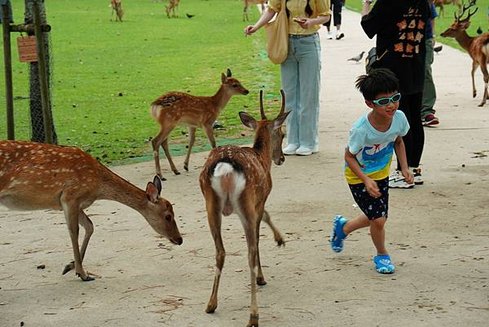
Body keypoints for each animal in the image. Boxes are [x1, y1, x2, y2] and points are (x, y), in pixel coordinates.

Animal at [0, 140, 182, 282]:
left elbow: (90, 226)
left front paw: (70, 266)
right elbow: (74, 230)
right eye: (168, 216)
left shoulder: (77, 203)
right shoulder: (70, 196)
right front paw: (83, 273)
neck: (97, 185)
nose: (179, 240)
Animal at [199, 89, 290, 327]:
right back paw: (253, 316)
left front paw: (280, 238)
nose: (281, 158)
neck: (262, 158)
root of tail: (225, 168)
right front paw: (279, 241)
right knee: (249, 252)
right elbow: (263, 222)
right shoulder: (261, 198)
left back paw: (211, 304)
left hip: (210, 204)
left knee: (220, 251)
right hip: (244, 202)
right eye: (282, 134)